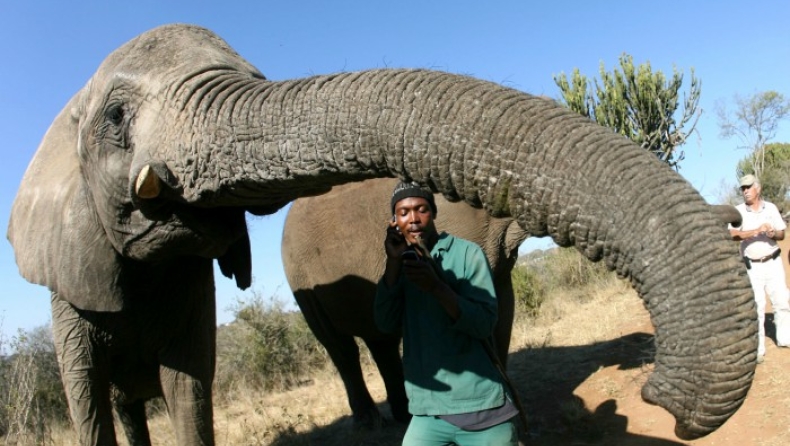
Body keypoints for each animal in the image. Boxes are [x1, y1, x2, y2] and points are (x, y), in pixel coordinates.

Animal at [284, 177, 532, 426]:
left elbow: (498, 308)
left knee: (380, 341)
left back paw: (404, 415)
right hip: (301, 282)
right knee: (340, 346)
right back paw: (370, 422)